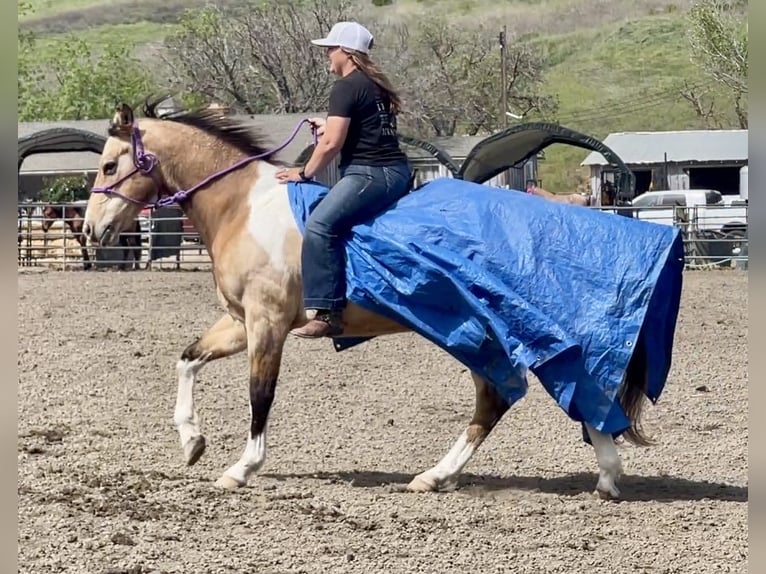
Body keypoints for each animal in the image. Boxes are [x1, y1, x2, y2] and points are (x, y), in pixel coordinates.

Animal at [82, 101, 684, 502]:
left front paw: (241, 467)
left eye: (110, 166)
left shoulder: (268, 322)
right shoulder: (239, 322)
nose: (90, 231)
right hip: (486, 337)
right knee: (523, 398)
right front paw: (192, 441)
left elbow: (260, 397)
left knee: (536, 394)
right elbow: (186, 360)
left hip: (499, 335)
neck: (243, 206)